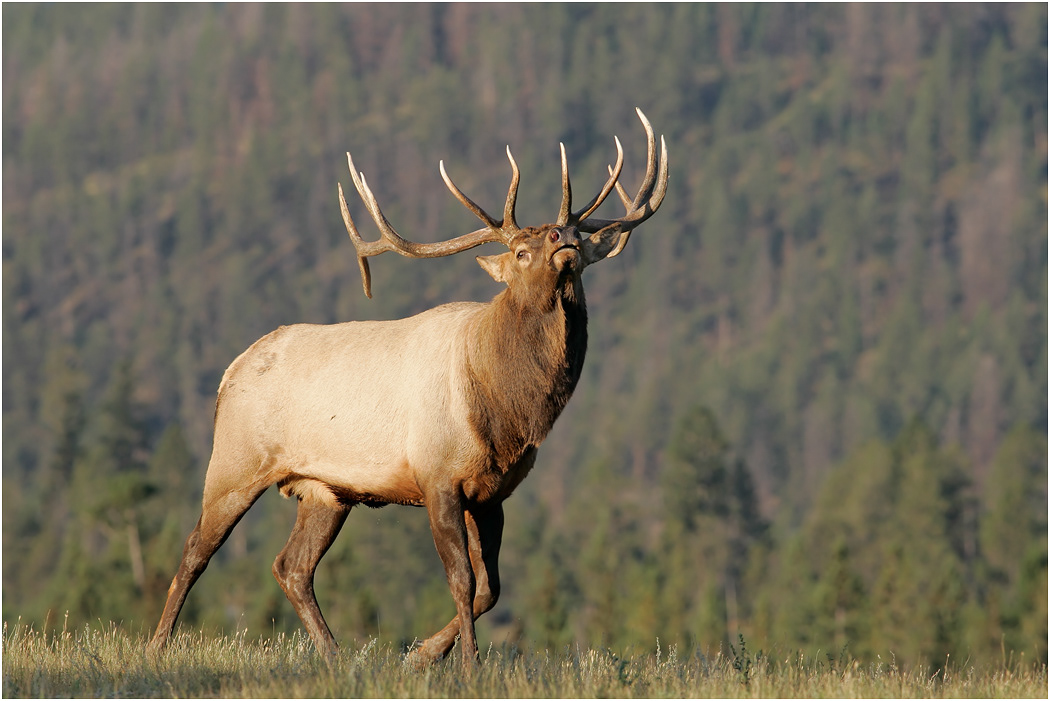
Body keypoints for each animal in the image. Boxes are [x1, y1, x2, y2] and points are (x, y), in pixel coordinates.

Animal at [147, 108, 667, 670]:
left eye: (574, 237)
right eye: (521, 250)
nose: (560, 236)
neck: (507, 408)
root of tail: (229, 373)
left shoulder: (493, 492)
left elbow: (492, 589)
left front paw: (421, 656)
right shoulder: (437, 475)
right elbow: (462, 580)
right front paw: (466, 664)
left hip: (326, 491)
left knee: (291, 566)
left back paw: (336, 656)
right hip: (235, 461)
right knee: (196, 548)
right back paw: (157, 645)